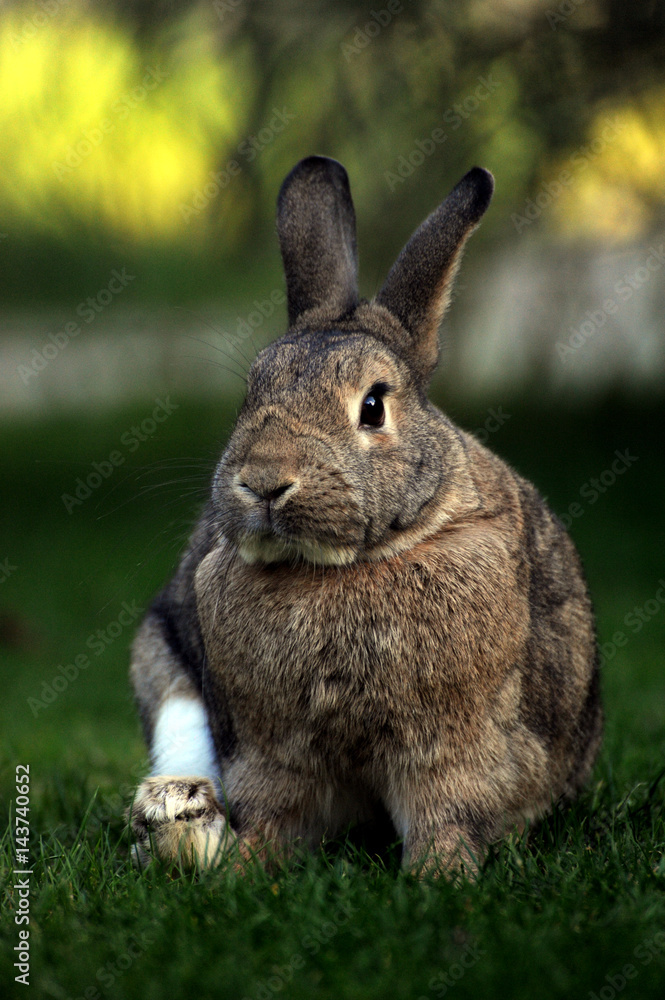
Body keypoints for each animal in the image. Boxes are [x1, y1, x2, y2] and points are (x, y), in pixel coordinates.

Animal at [129, 155, 602, 875]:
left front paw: (441, 878)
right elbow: (274, 816)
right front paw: (244, 869)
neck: (345, 567)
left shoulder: (455, 749)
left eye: (373, 406)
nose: (264, 482)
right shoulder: (273, 755)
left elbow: (445, 815)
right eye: (252, 394)